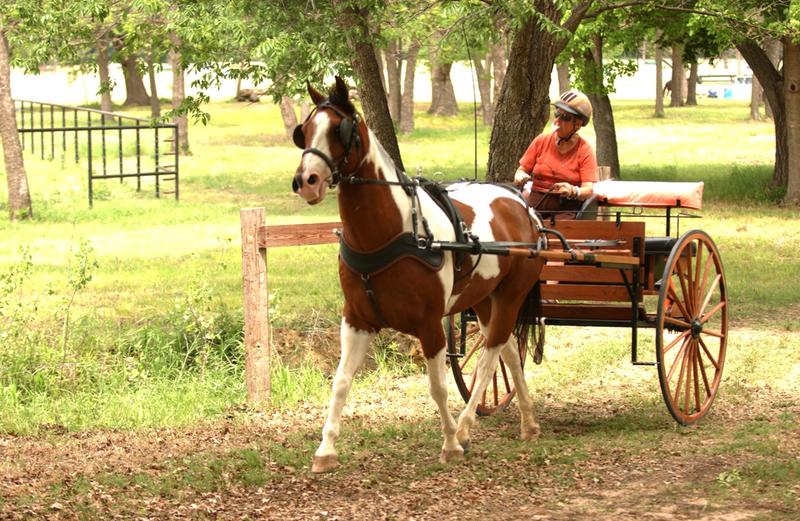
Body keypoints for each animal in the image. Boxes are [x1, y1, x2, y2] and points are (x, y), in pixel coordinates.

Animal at [291, 76, 545, 473]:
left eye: (338, 129)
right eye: (303, 132)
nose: (307, 181)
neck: (391, 233)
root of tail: (521, 204)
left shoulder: (429, 324)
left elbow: (438, 386)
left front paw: (451, 443)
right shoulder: (355, 320)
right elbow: (341, 381)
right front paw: (325, 450)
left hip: (511, 294)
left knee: (490, 355)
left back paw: (466, 427)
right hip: (485, 298)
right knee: (507, 351)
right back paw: (529, 423)